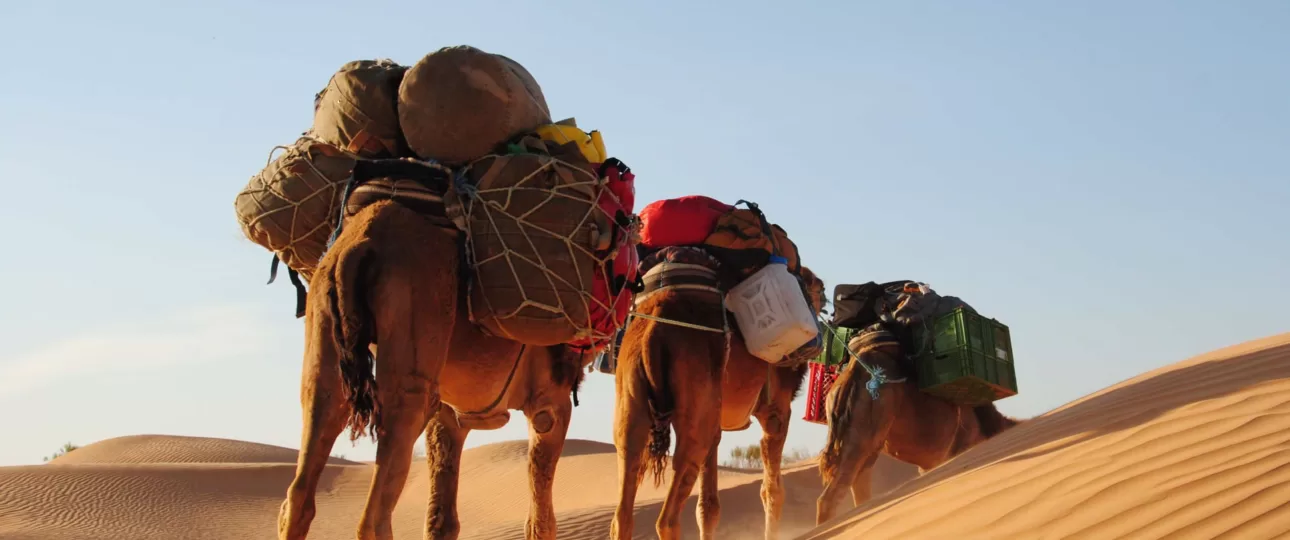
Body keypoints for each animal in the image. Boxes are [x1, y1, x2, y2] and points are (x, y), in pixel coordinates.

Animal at [279, 201, 590, 540]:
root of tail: (358, 246)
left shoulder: (450, 413)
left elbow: (442, 520)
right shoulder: (550, 401)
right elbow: (540, 520)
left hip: (323, 322)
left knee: (305, 469)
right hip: (415, 319)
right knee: (374, 511)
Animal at [611, 247, 825, 540]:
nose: (824, 293)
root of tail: (654, 330)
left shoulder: (716, 421)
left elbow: (708, 507)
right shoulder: (775, 410)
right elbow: (772, 491)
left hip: (632, 399)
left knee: (624, 496)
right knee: (667, 517)